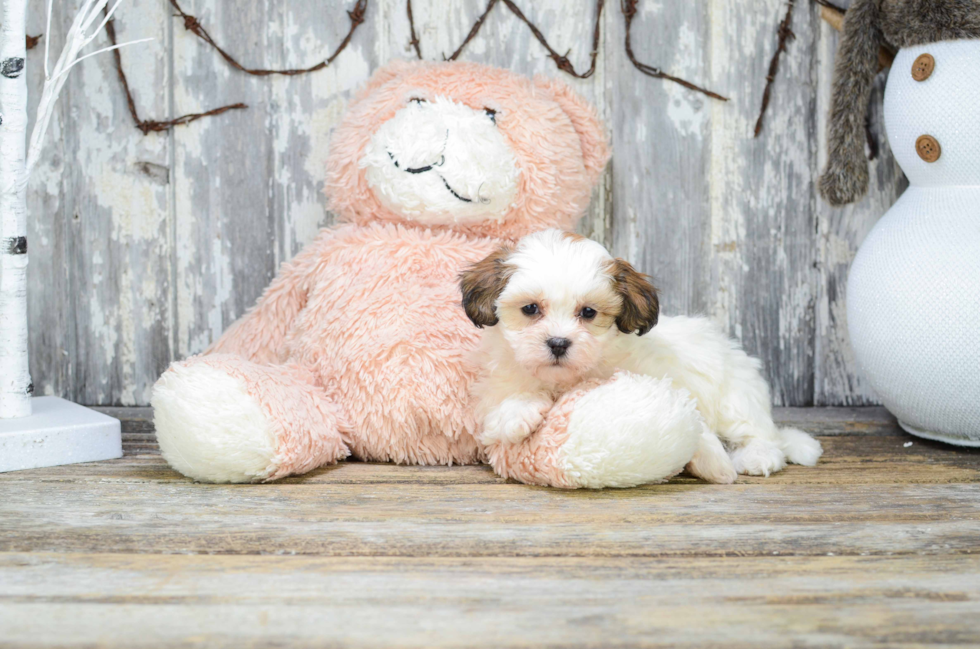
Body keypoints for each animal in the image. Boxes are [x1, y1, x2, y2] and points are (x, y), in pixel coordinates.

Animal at [460, 230, 820, 484]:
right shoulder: (493, 386)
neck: (567, 379)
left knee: (759, 435)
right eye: (530, 309)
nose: (559, 343)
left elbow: (691, 421)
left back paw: (757, 456)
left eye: (588, 312)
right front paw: (518, 412)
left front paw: (715, 464)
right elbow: (503, 404)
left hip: (737, 397)